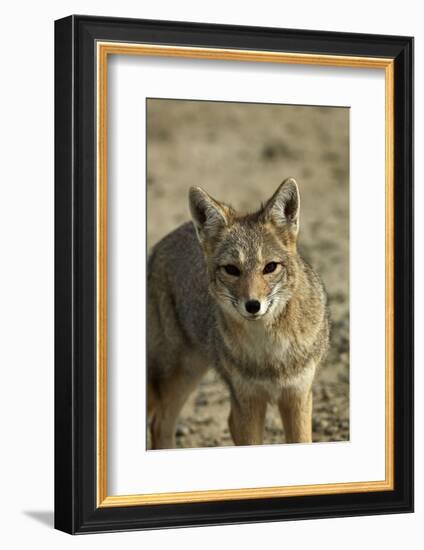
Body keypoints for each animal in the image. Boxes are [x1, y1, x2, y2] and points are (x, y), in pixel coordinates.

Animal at [147, 179, 330, 450]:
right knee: (159, 423)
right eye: (232, 270)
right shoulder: (247, 402)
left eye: (270, 267)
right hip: (181, 373)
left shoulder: (298, 396)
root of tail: (160, 244)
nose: (252, 305)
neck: (269, 355)